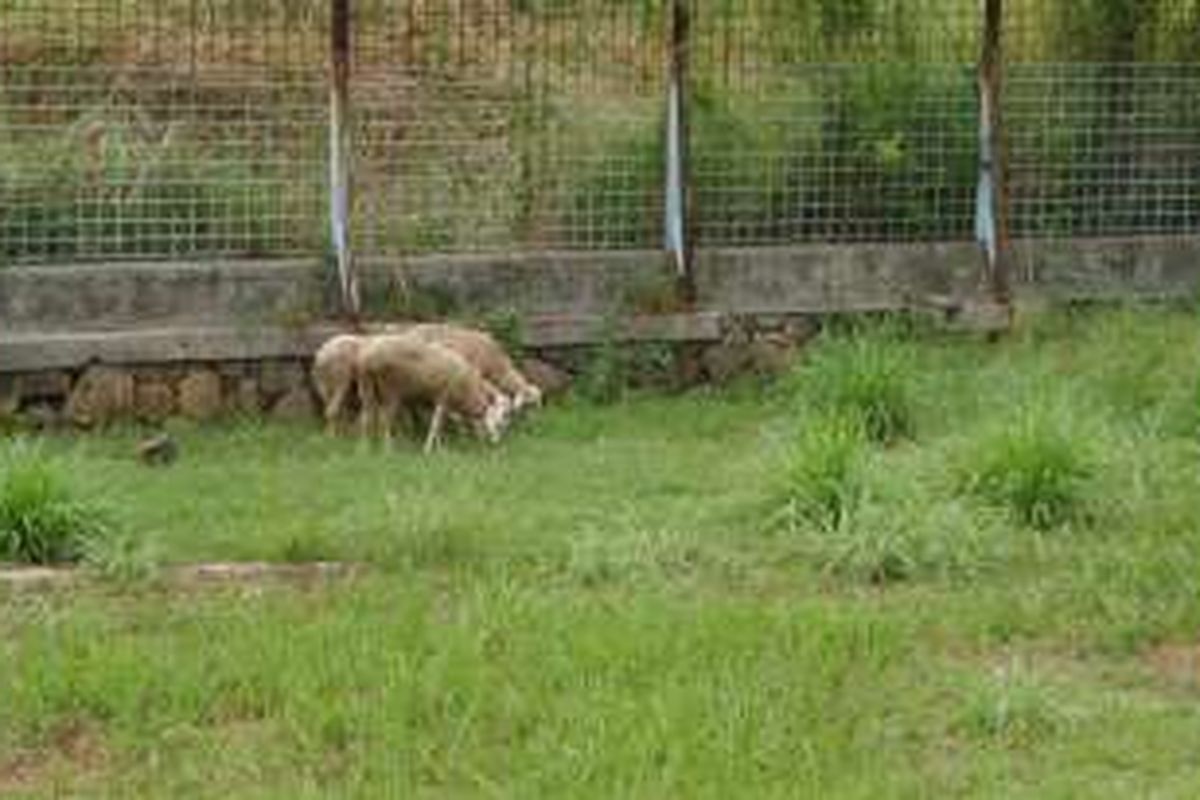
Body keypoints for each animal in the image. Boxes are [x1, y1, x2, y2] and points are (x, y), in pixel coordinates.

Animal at [350, 333, 511, 455]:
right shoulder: (444, 398)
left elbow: (439, 425)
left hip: (366, 387)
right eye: (499, 418)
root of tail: (367, 357)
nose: (496, 442)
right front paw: (427, 450)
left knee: (365, 417)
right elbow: (435, 425)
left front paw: (439, 448)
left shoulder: (440, 401)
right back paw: (388, 449)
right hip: (391, 391)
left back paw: (363, 448)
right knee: (385, 420)